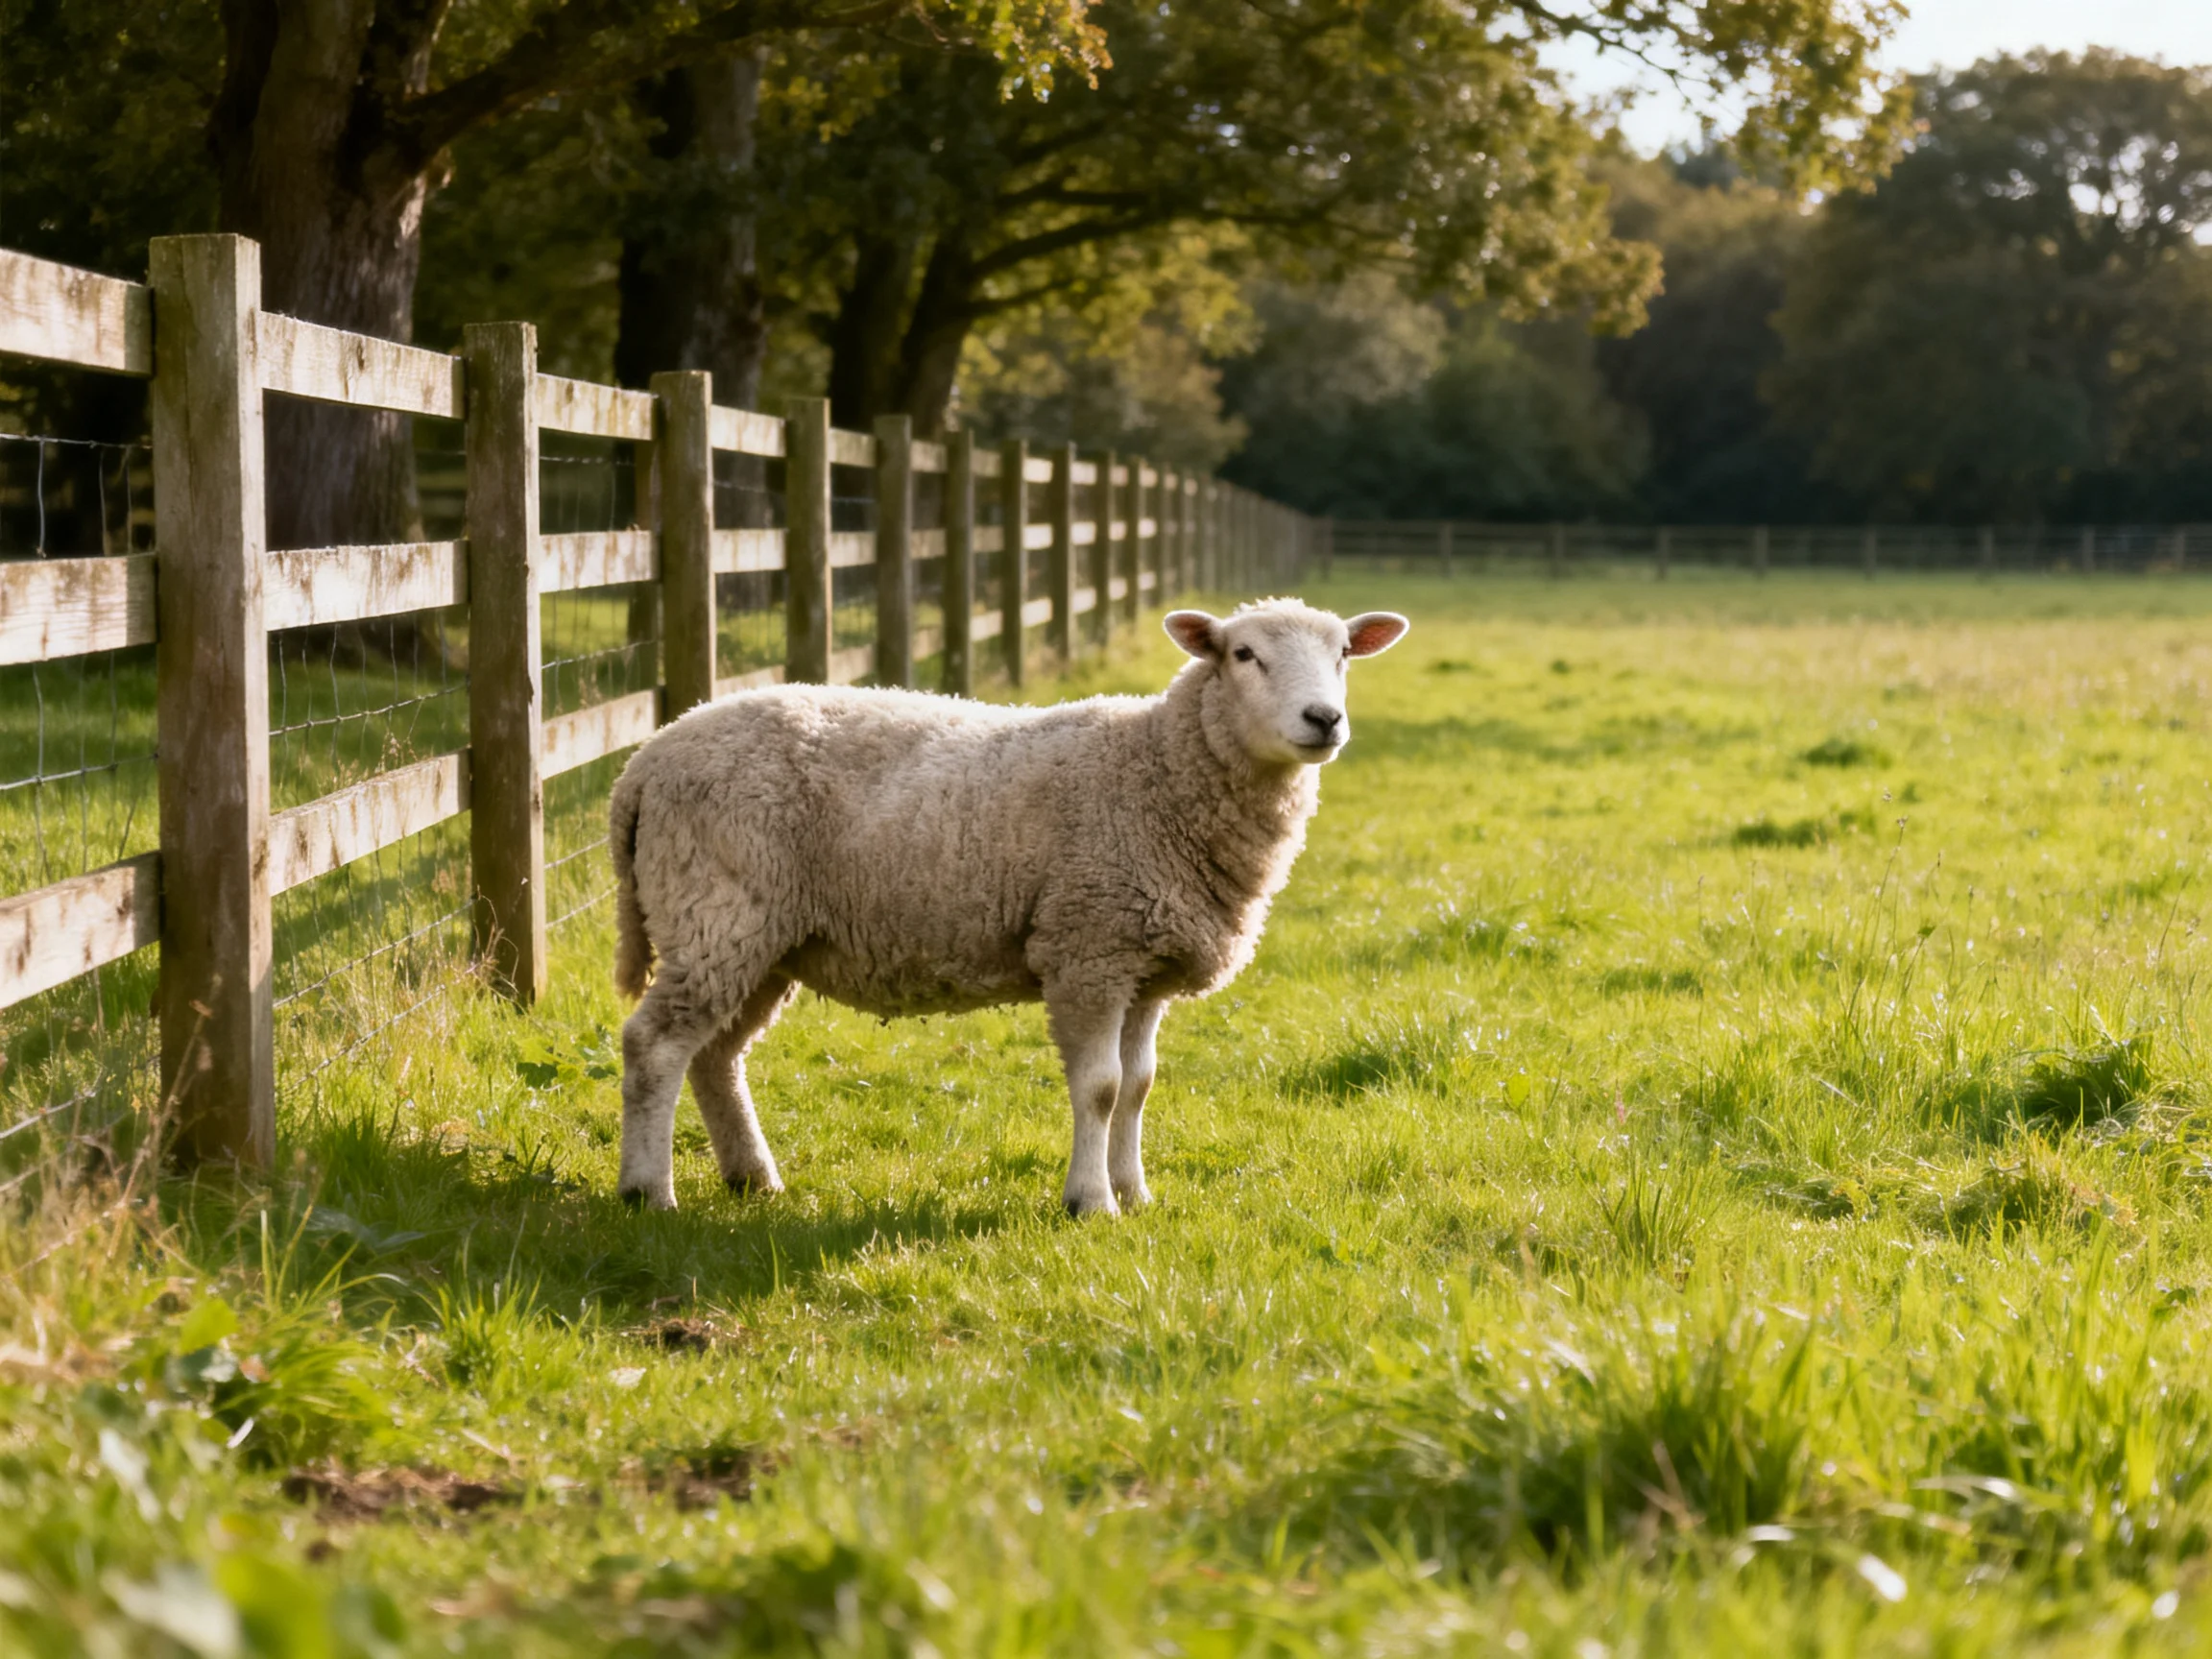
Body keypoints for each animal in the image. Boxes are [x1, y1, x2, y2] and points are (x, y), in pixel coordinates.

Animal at [606, 597, 1409, 1217]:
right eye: (1244, 654)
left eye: (1344, 652)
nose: (1324, 718)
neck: (1156, 771)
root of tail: (647, 759)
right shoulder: (1088, 949)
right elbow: (1100, 1088)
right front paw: (1091, 1202)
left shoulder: (1143, 964)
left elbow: (1139, 1087)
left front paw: (1135, 1193)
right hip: (719, 910)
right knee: (655, 1046)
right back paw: (649, 1192)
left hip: (763, 938)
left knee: (715, 1056)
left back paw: (753, 1179)